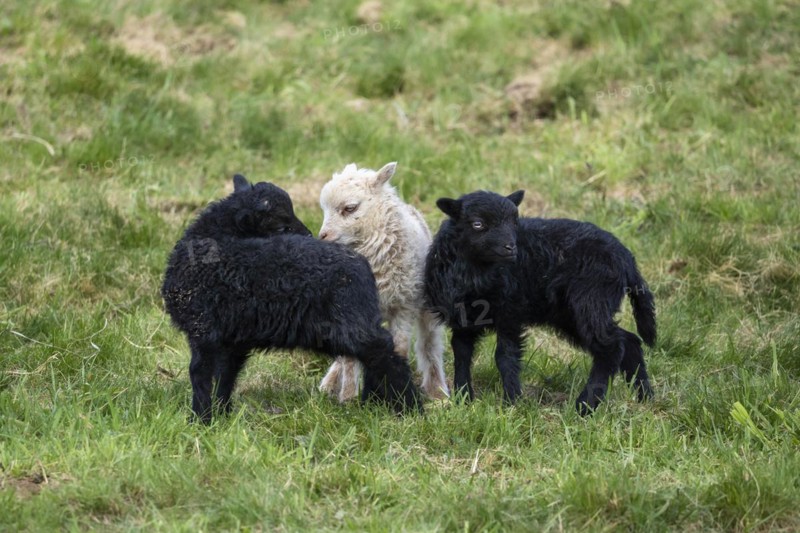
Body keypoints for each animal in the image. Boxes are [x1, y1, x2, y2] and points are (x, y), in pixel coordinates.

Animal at [161, 174, 421, 422]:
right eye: (279, 226)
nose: (311, 235)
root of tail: (362, 266)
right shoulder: (228, 341)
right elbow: (224, 378)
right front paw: (220, 417)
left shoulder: (203, 332)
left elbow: (200, 376)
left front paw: (200, 420)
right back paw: (377, 403)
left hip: (352, 325)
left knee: (386, 352)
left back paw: (411, 408)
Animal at [317, 162, 449, 402]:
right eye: (324, 210)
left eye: (350, 208)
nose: (323, 236)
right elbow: (349, 358)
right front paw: (348, 399)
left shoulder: (404, 306)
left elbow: (400, 349)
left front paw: (397, 392)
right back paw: (330, 385)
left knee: (429, 345)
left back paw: (438, 392)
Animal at [424, 189, 656, 415]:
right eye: (478, 223)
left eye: (514, 222)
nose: (511, 248)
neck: (476, 272)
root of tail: (626, 258)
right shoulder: (462, 318)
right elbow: (461, 353)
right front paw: (463, 398)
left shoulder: (510, 312)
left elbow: (505, 357)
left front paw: (512, 402)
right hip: (572, 314)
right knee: (628, 340)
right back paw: (644, 396)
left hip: (591, 301)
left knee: (612, 347)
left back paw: (585, 405)